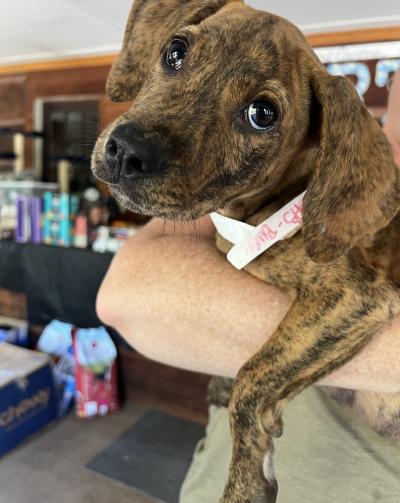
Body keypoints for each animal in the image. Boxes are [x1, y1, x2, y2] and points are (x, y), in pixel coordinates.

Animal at [92, 1, 400, 502]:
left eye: (262, 113)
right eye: (175, 51)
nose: (126, 151)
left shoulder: (356, 296)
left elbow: (254, 374)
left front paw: (244, 482)